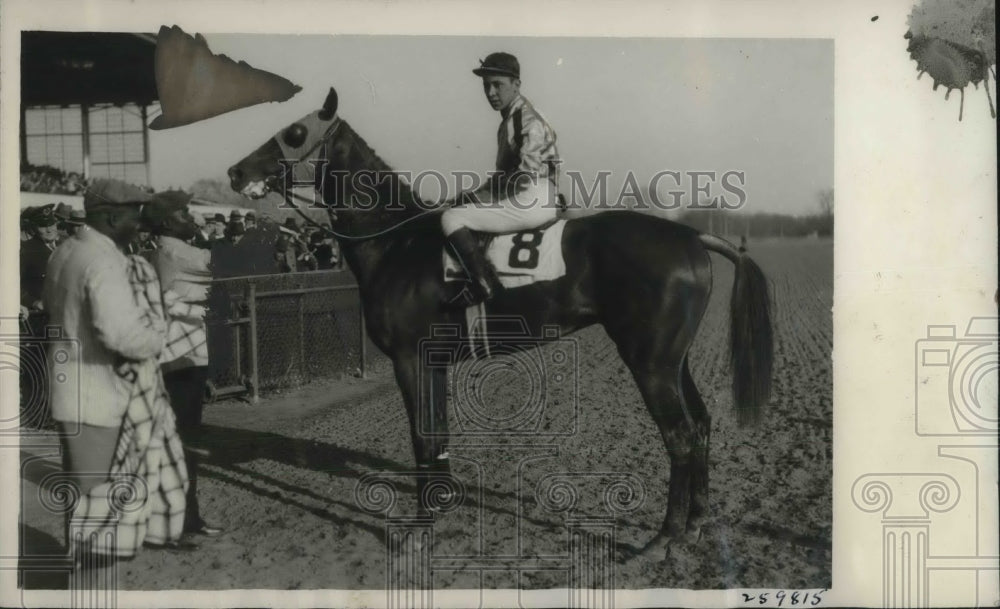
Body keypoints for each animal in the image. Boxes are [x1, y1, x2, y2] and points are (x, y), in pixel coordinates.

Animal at [229, 89, 772, 556]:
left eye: (295, 132)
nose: (235, 171)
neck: (397, 242)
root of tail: (692, 237)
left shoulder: (409, 359)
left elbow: (422, 438)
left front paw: (419, 530)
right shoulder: (433, 362)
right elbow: (438, 436)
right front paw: (441, 507)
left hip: (650, 363)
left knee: (679, 436)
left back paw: (665, 537)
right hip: (674, 359)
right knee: (701, 425)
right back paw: (697, 524)